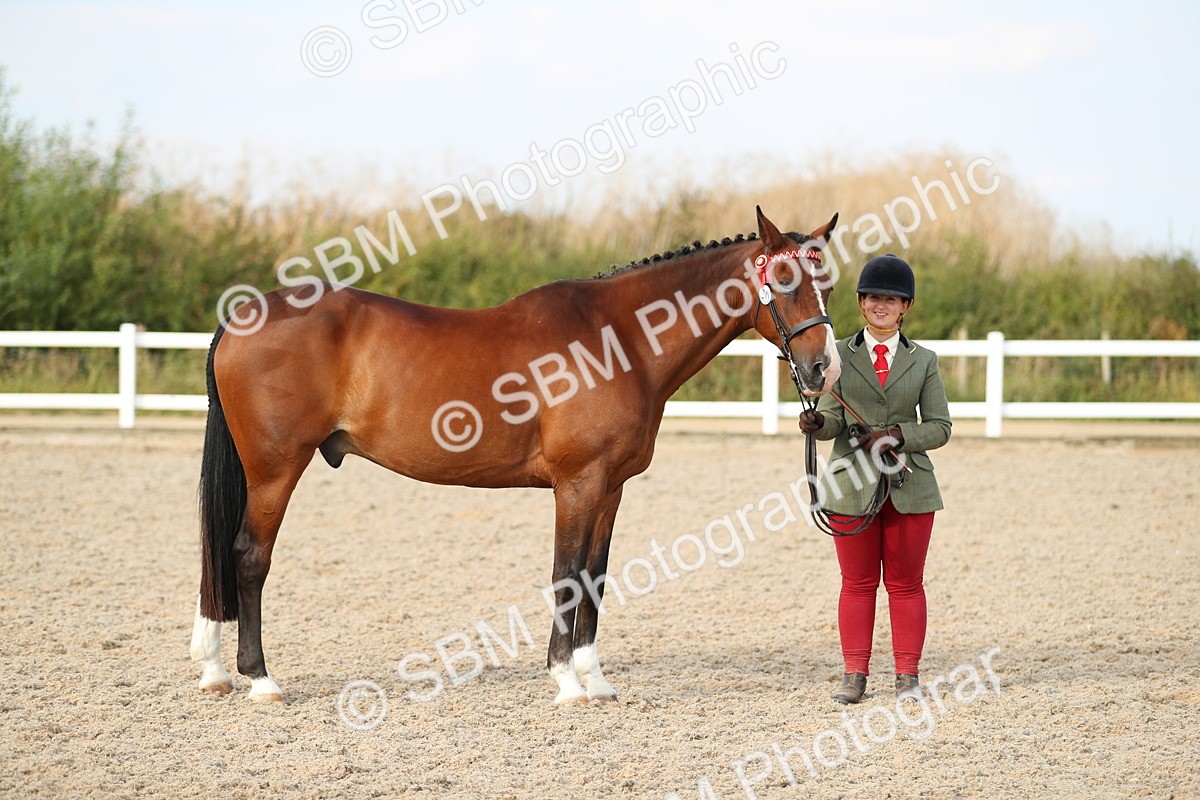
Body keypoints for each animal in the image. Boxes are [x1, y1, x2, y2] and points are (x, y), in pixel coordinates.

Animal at [190, 207, 842, 705]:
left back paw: (216, 672)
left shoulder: (611, 487)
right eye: (785, 282)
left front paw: (594, 680)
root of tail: (241, 317)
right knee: (248, 556)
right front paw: (566, 683)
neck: (619, 341)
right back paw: (260, 680)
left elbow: (595, 576)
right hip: (274, 471)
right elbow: (566, 575)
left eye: (826, 285)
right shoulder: (577, 483)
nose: (823, 369)